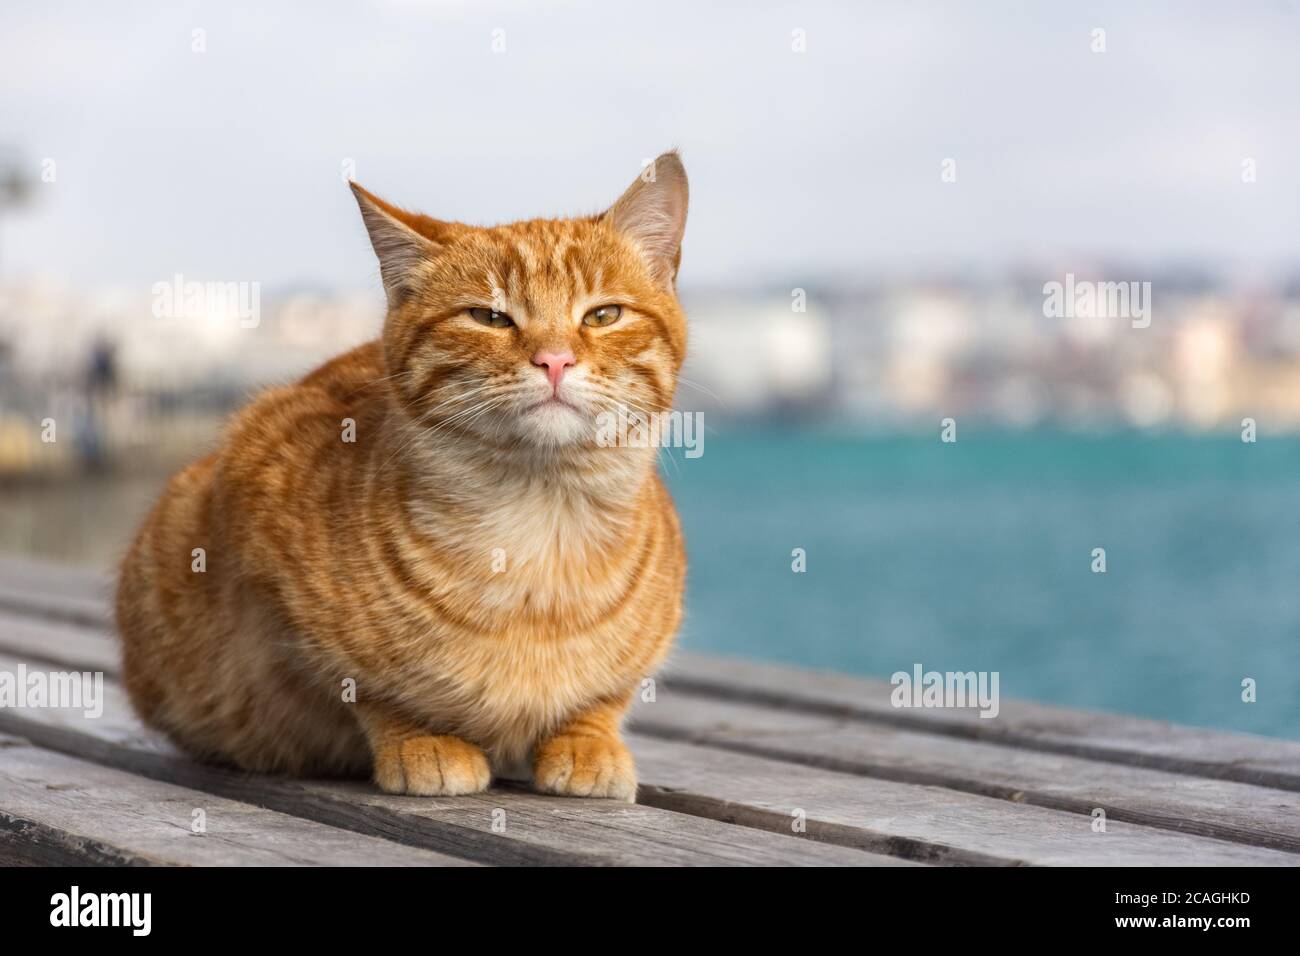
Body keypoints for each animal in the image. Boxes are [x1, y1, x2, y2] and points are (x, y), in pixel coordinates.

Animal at [118, 155, 691, 801]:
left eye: (603, 314)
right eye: (489, 317)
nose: (554, 360)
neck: (539, 527)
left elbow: (605, 696)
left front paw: (587, 739)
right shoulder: (259, 505)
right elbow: (367, 689)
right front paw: (422, 738)